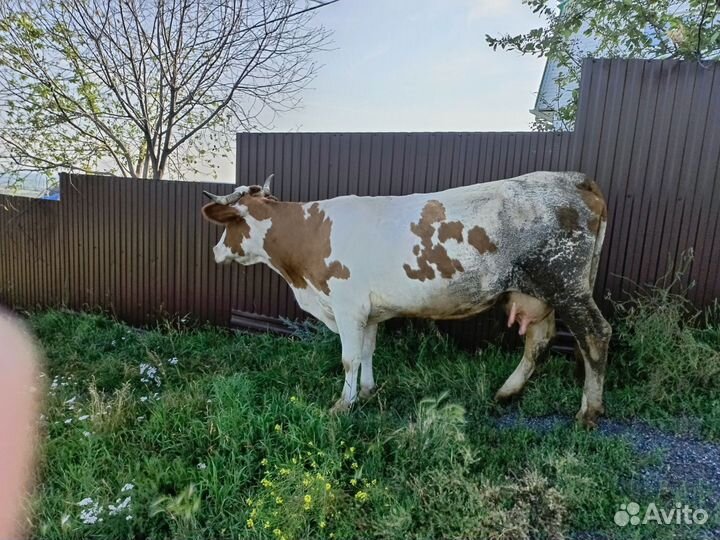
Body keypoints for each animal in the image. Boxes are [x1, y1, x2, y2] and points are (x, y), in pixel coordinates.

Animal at [201, 171, 611, 427]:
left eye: (228, 224)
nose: (215, 251)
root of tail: (576, 178)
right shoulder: (368, 312)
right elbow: (368, 351)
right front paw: (367, 392)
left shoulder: (348, 307)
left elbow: (349, 358)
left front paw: (343, 404)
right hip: (537, 292)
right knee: (538, 340)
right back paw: (506, 392)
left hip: (566, 284)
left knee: (596, 335)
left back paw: (588, 413)